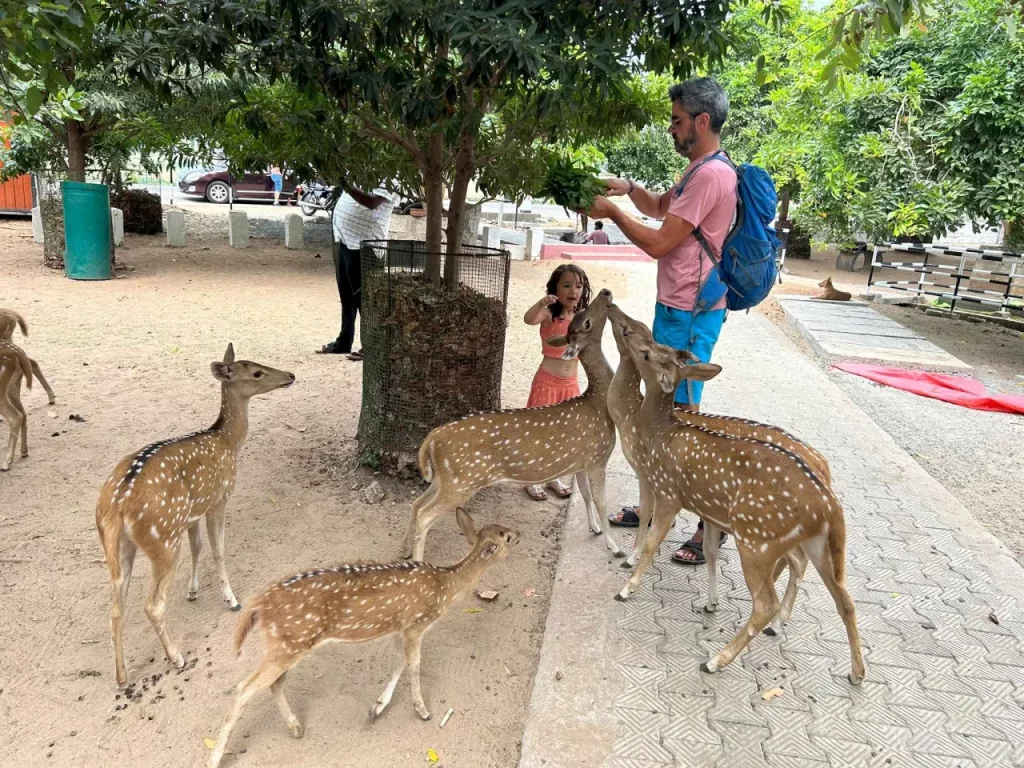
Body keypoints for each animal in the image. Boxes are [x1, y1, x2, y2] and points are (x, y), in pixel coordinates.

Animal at [95, 346, 294, 688]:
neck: (228, 442)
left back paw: (121, 677)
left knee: (116, 607)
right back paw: (176, 658)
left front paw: (193, 591)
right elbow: (218, 550)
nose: (290, 375)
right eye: (256, 373)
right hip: (163, 540)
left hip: (120, 547)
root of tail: (117, 506)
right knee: (152, 605)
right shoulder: (218, 500)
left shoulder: (191, 516)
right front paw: (231, 599)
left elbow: (198, 547)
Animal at [205, 507, 520, 765]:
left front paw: (376, 709)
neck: (446, 587)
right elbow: (414, 665)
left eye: (501, 527)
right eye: (506, 537)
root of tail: (258, 604)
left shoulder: (399, 627)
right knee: (244, 687)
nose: (520, 533)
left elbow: (400, 662)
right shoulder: (416, 624)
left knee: (273, 683)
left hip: (285, 645)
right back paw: (216, 758)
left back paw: (295, 727)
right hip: (289, 644)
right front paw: (422, 710)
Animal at [403, 286, 618, 561]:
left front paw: (595, 529)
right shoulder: (599, 457)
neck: (599, 402)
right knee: (425, 514)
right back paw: (418, 561)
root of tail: (431, 440)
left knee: (417, 503)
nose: (606, 292)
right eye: (586, 320)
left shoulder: (582, 460)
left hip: (445, 478)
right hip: (462, 480)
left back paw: (404, 550)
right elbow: (602, 502)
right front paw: (614, 547)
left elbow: (587, 496)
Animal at [610, 309, 860, 684]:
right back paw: (856, 671)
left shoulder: (667, 490)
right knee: (842, 595)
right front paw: (710, 601)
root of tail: (830, 503)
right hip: (813, 545)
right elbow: (711, 551)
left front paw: (627, 584)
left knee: (767, 600)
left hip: (757, 538)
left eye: (647, 353)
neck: (657, 432)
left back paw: (717, 659)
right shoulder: (711, 510)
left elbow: (653, 537)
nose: (625, 329)